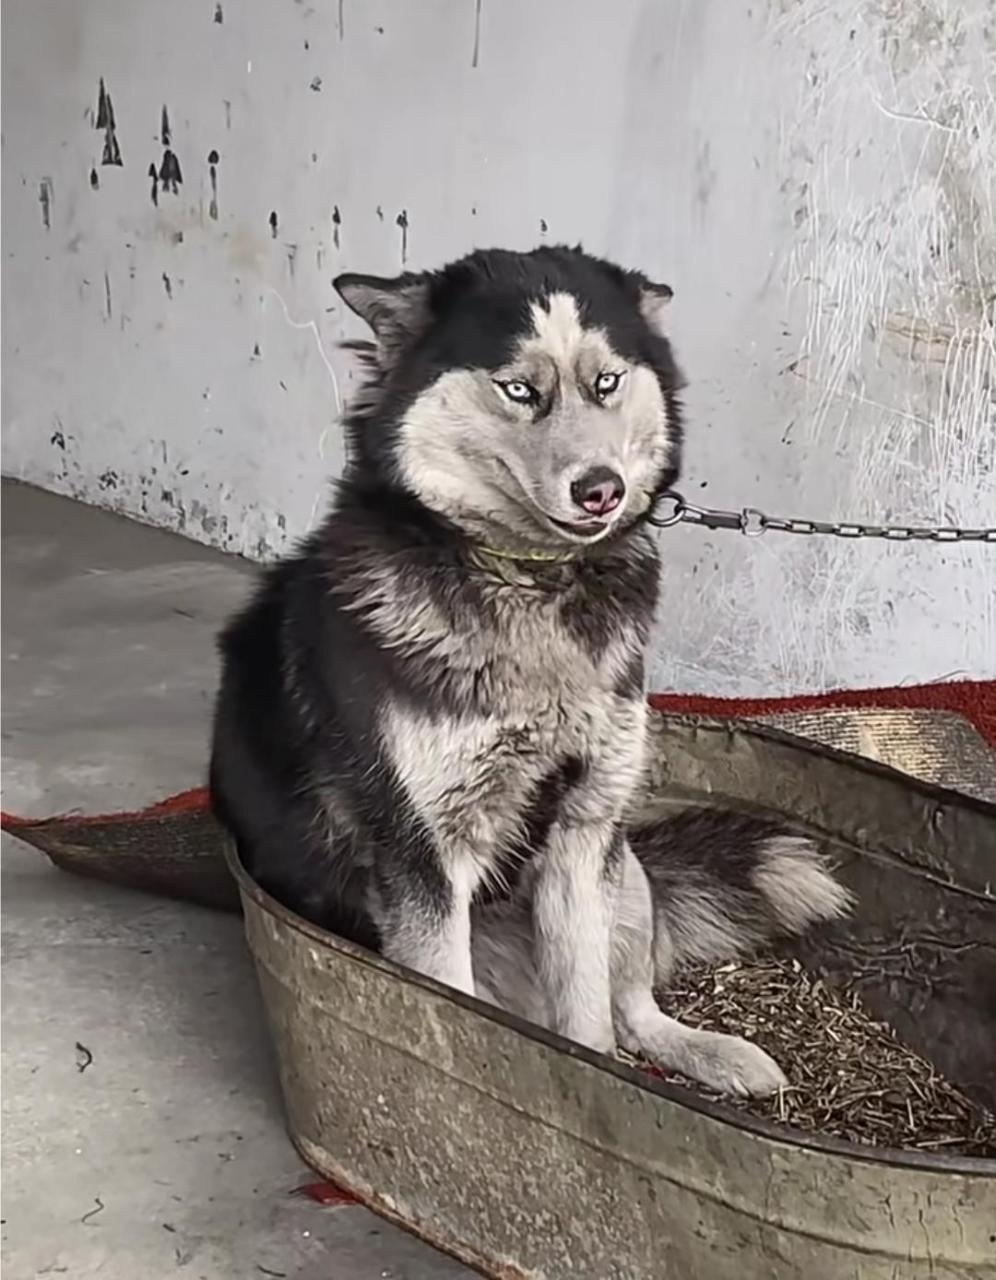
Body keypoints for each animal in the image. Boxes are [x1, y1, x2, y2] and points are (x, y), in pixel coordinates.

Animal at [211, 244, 844, 1095]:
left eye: (606, 382)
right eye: (520, 389)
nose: (602, 488)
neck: (530, 579)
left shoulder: (582, 835)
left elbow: (590, 1027)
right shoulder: (428, 863)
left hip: (625, 866)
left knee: (631, 1009)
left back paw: (712, 1053)